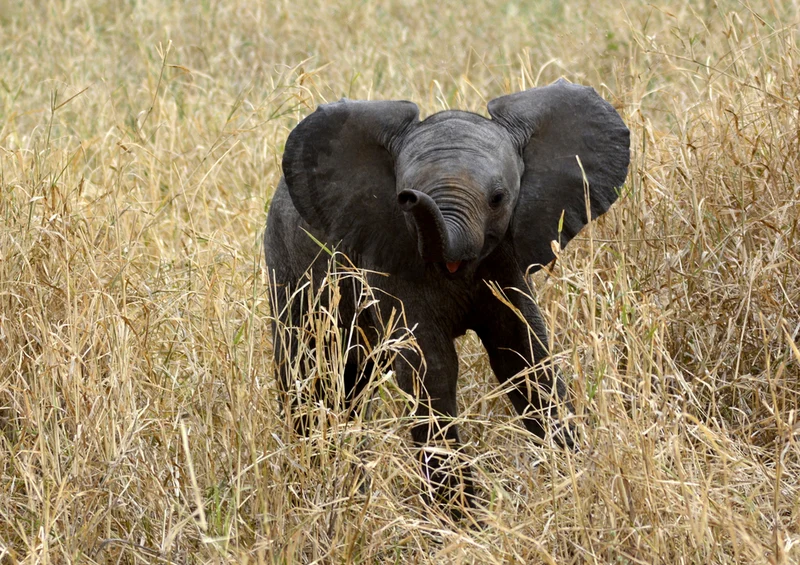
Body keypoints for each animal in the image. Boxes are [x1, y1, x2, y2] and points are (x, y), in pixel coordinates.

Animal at [264, 78, 630, 512]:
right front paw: (463, 520)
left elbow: (524, 354)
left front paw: (574, 475)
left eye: (498, 198)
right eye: (402, 199)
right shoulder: (391, 260)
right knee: (311, 372)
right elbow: (431, 367)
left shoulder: (507, 257)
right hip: (288, 269)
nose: (410, 197)